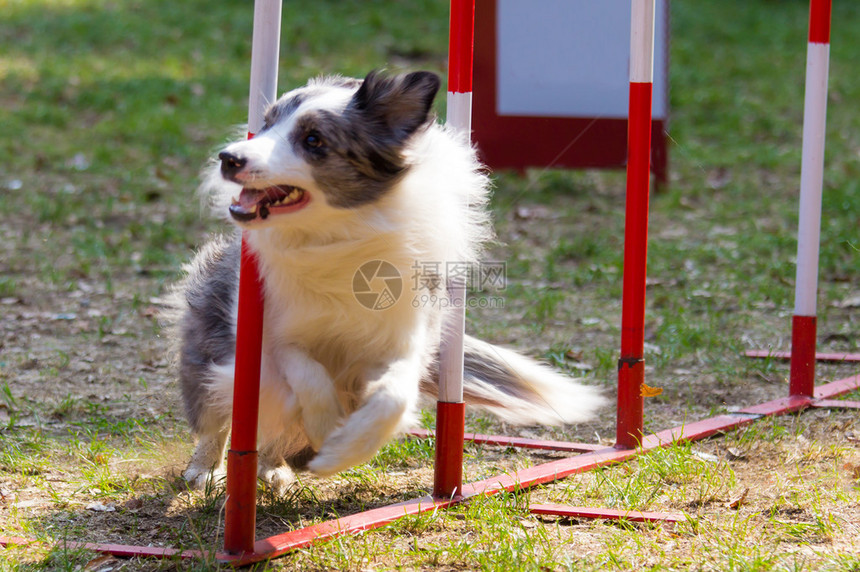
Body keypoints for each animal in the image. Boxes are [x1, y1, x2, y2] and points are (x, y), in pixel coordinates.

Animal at [175, 70, 604, 492]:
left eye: (313, 140)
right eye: (265, 125)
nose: (228, 158)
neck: (336, 236)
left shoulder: (404, 339)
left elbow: (392, 397)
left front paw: (340, 450)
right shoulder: (272, 335)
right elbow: (309, 374)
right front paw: (326, 429)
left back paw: (274, 468)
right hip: (211, 343)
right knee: (221, 410)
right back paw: (206, 468)